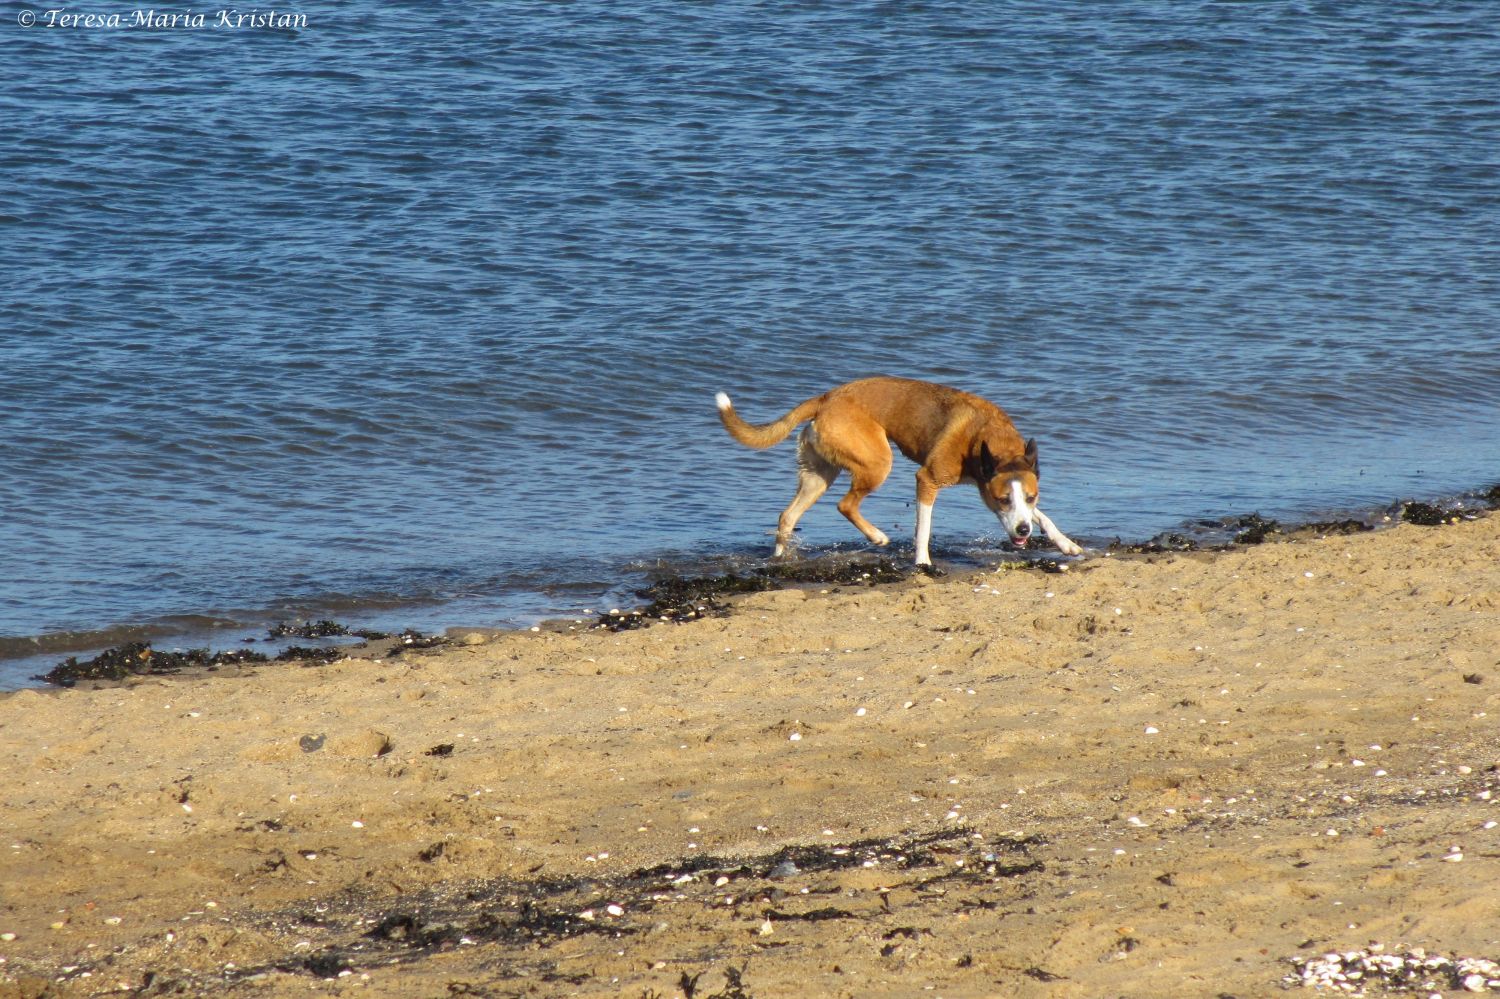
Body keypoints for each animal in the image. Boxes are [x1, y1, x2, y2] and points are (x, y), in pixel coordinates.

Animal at [714, 375, 1080, 564]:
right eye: (1002, 500)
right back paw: (877, 536)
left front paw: (1065, 544)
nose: (1022, 532)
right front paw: (922, 563)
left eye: (1031, 497)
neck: (986, 439)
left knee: (787, 516)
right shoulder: (927, 480)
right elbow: (923, 528)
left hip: (818, 476)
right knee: (845, 505)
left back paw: (778, 557)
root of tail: (826, 397)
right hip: (877, 462)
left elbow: (1045, 518)